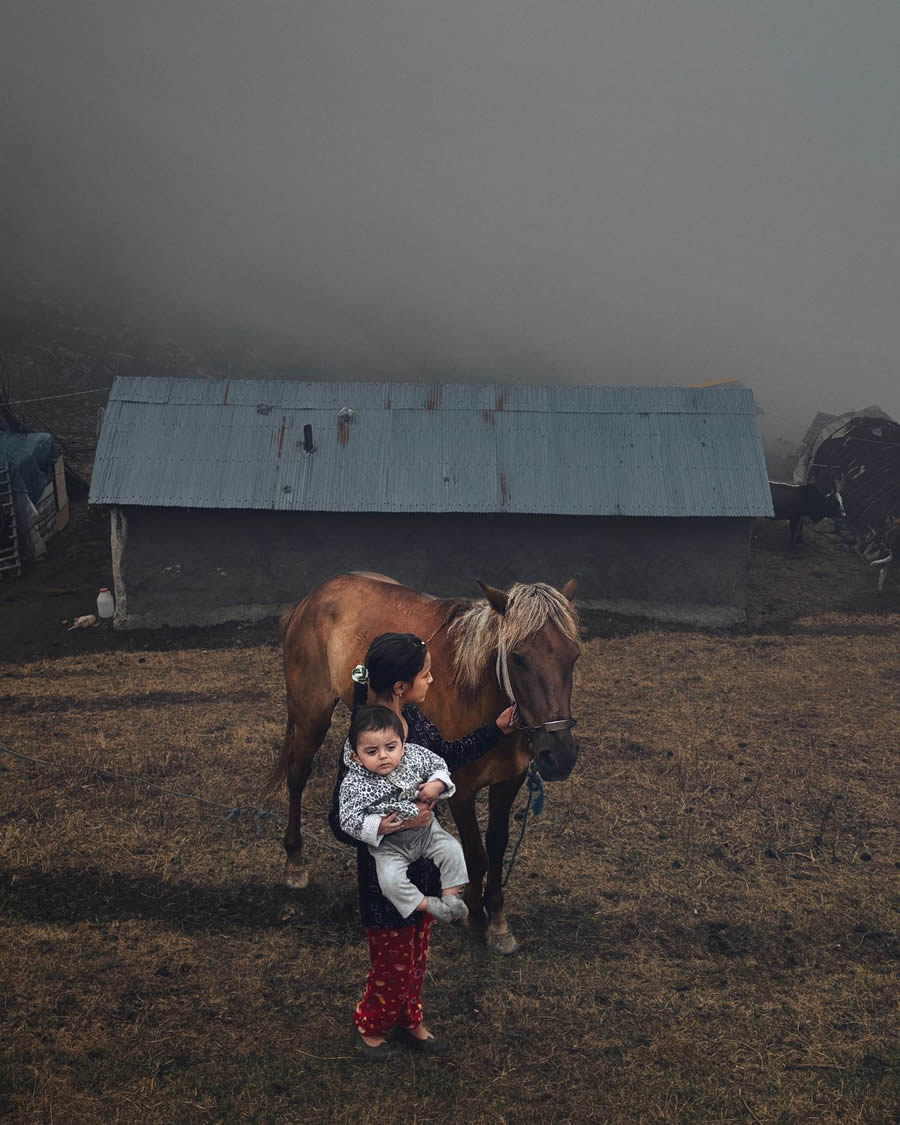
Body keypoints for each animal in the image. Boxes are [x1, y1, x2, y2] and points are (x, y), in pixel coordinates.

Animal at [271, 571, 580, 949]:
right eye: (518, 658)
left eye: (573, 656)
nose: (559, 755)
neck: (476, 693)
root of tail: (314, 596)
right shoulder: (461, 788)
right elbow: (475, 854)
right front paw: (475, 917)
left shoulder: (509, 781)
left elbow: (496, 847)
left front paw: (497, 921)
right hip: (311, 718)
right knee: (297, 777)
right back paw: (294, 862)